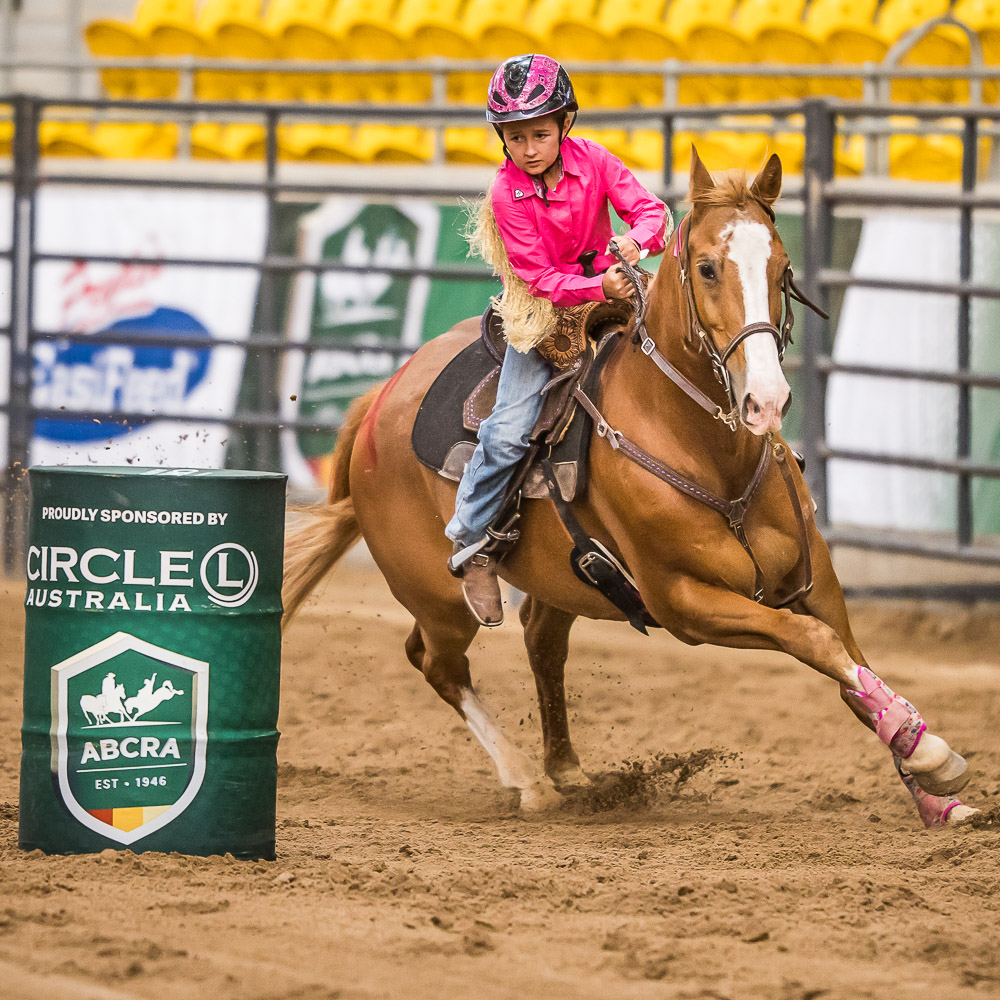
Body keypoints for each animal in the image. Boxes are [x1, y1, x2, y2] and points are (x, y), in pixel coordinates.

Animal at [280, 148, 976, 828]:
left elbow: (850, 665)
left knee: (540, 642)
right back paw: (530, 782)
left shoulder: (815, 582)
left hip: (557, 579)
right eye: (707, 268)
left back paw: (566, 770)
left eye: (781, 266)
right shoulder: (685, 603)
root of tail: (379, 399)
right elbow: (816, 643)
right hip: (436, 597)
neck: (707, 453)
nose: (767, 399)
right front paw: (932, 756)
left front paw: (931, 782)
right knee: (438, 663)